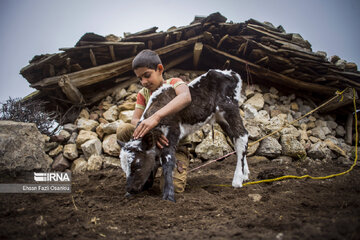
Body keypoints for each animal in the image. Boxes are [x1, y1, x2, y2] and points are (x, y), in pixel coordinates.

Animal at [117, 70, 248, 202]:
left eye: (137, 165)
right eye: (123, 167)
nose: (129, 189)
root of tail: (230, 73)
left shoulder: (172, 132)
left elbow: (168, 162)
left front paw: (168, 196)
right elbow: (154, 163)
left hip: (229, 108)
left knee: (242, 136)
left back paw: (237, 180)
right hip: (221, 118)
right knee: (235, 139)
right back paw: (245, 174)